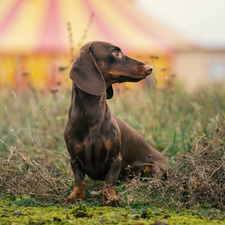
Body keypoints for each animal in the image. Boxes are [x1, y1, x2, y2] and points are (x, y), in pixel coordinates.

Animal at [63, 40, 169, 206]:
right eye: (115, 52)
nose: (150, 68)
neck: (92, 114)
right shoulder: (74, 159)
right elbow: (79, 180)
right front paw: (76, 196)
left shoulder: (115, 159)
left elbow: (109, 181)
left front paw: (111, 198)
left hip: (154, 169)